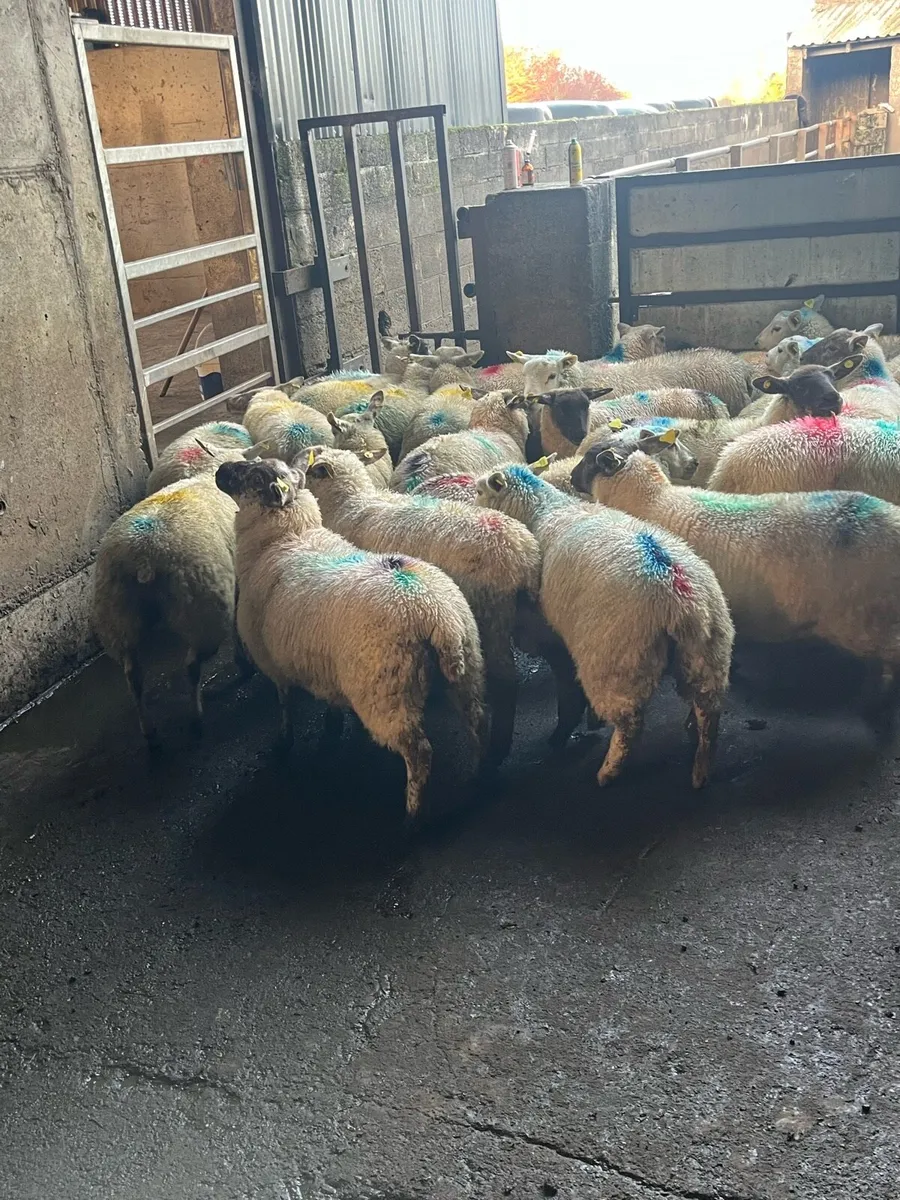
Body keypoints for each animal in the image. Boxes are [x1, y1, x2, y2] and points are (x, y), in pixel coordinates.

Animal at [92, 475, 238, 745]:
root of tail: (144, 556)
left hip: (117, 617)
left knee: (134, 676)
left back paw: (149, 732)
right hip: (203, 610)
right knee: (192, 665)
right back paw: (196, 719)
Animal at [215, 456, 486, 821]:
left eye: (255, 477)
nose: (220, 470)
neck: (286, 537)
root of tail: (435, 613)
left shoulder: (272, 659)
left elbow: (284, 703)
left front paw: (283, 743)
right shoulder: (323, 663)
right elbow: (329, 699)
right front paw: (331, 726)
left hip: (386, 694)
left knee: (420, 753)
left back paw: (413, 815)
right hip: (468, 668)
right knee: (478, 721)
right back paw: (479, 776)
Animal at [474, 464, 733, 787]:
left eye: (479, 490)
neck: (543, 509)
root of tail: (677, 592)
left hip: (616, 660)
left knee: (630, 723)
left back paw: (608, 771)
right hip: (708, 650)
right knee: (708, 708)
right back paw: (700, 767)